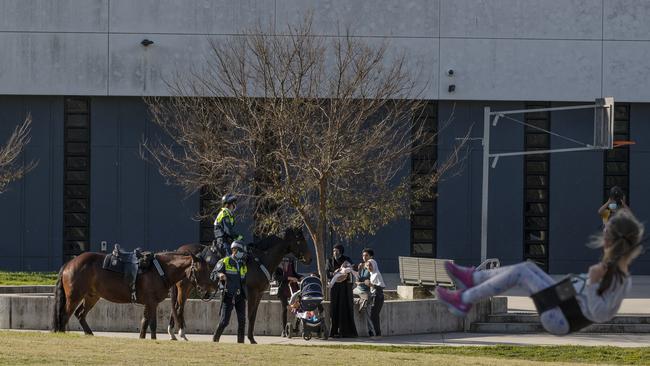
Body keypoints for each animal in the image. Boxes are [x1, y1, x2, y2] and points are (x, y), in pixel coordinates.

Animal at [53, 250, 210, 338]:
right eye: (199, 270)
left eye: (208, 269)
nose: (207, 293)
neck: (160, 270)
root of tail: (69, 264)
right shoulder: (152, 302)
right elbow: (151, 324)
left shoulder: (149, 303)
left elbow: (145, 323)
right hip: (74, 297)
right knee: (65, 315)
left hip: (91, 296)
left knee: (80, 314)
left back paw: (89, 334)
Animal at [166, 227, 310, 344]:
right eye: (300, 240)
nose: (310, 258)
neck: (260, 260)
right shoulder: (252, 292)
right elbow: (250, 315)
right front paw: (250, 338)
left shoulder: (259, 294)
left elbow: (253, 315)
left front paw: (250, 338)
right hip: (184, 287)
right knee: (179, 308)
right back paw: (182, 333)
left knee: (176, 306)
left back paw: (173, 333)